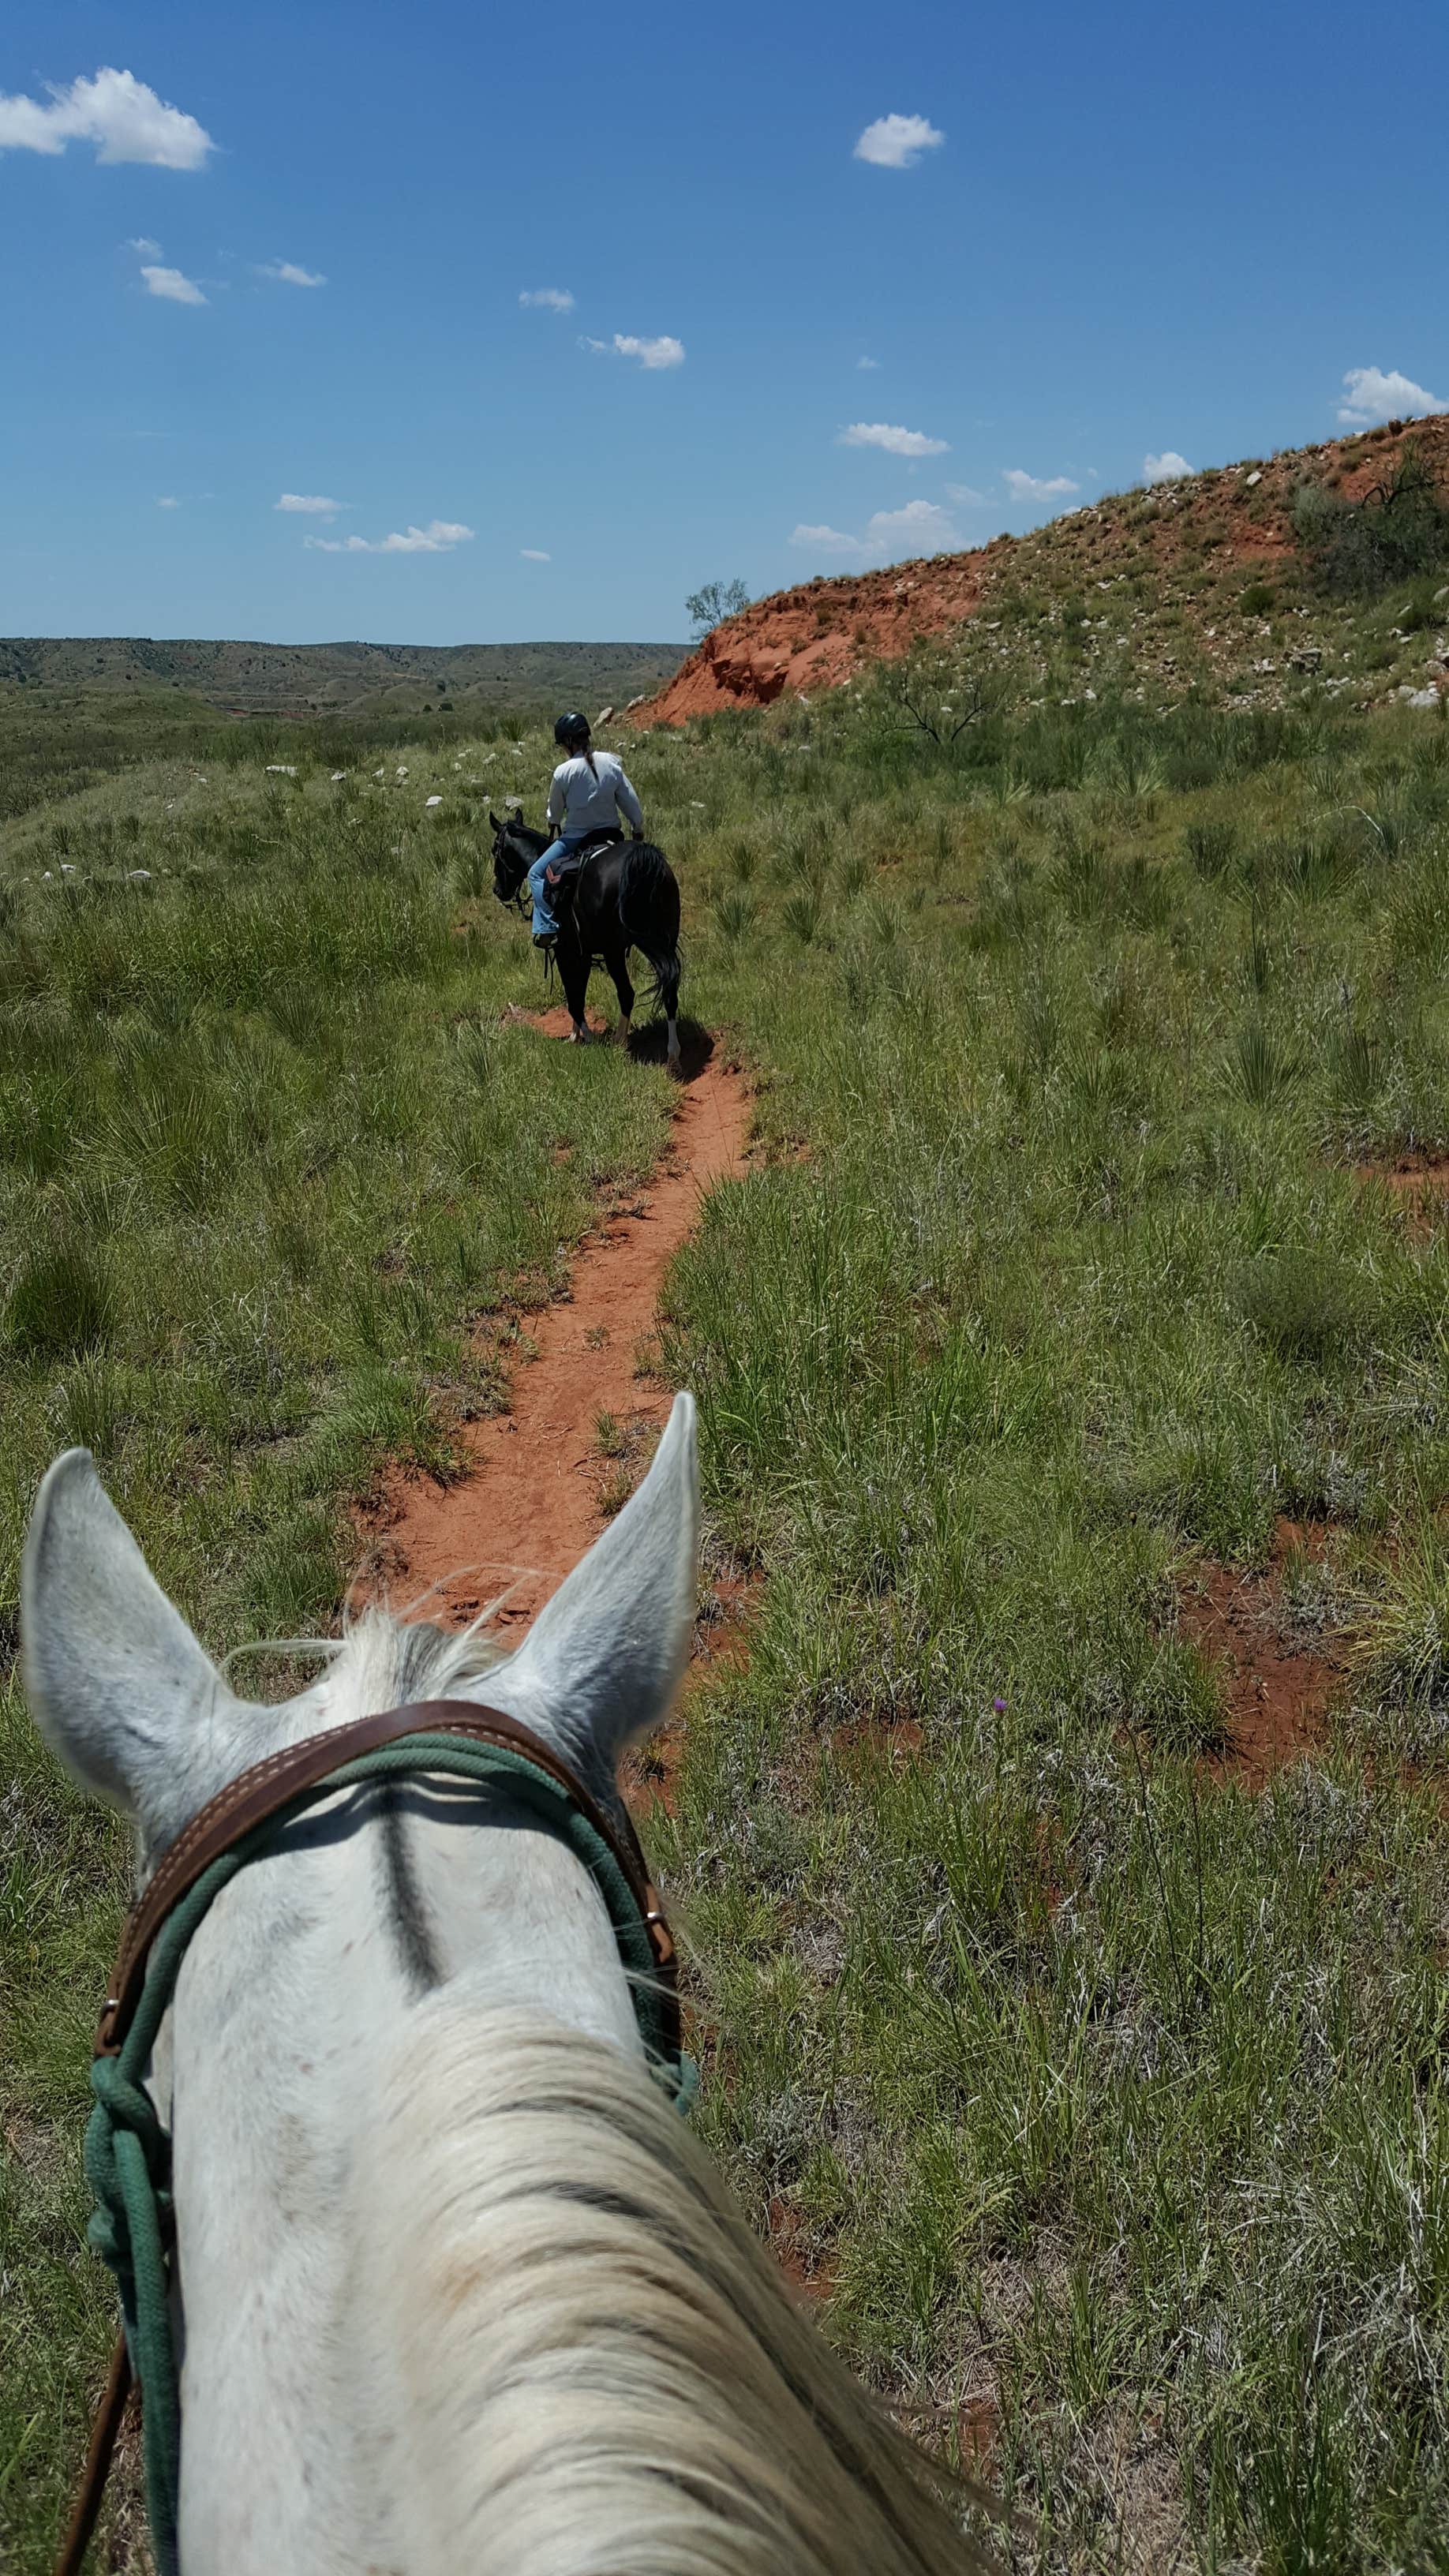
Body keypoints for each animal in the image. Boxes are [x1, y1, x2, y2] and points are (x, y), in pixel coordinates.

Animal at [490, 809, 684, 1068]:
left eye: (496, 849)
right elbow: (579, 990)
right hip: (664, 940)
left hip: (614, 952)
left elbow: (573, 995)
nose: (497, 890)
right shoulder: (582, 954)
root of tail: (642, 859)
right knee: (670, 989)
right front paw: (576, 1034)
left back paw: (619, 1042)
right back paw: (673, 1053)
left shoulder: (565, 952)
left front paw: (584, 1036)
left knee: (627, 993)